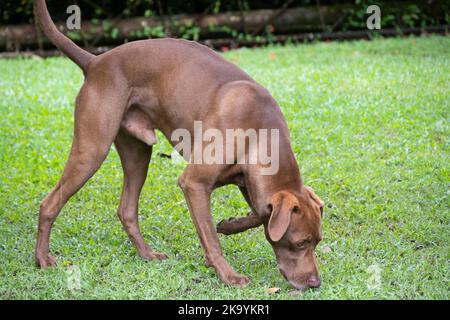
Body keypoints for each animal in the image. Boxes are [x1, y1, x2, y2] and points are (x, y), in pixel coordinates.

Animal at [34, 0, 324, 290]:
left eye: (318, 241)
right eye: (300, 243)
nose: (315, 283)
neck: (260, 132)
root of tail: (95, 62)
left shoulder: (249, 182)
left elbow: (256, 215)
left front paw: (229, 225)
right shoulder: (194, 183)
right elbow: (212, 239)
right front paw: (227, 274)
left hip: (138, 154)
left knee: (126, 210)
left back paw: (147, 254)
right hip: (91, 150)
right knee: (49, 204)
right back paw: (43, 259)